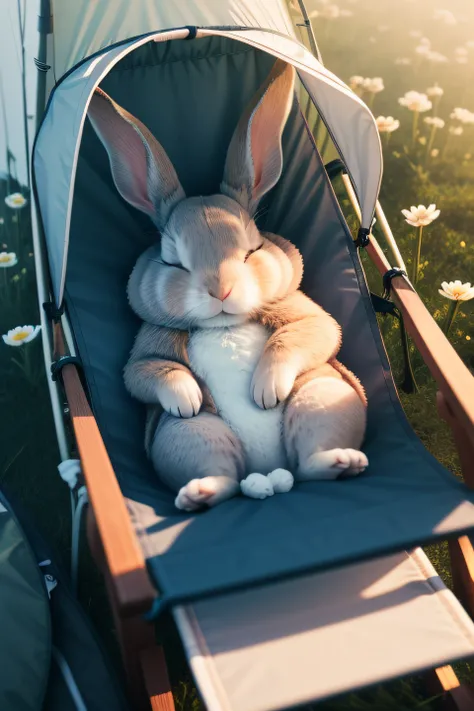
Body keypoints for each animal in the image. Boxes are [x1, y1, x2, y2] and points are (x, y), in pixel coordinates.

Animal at [88, 57, 370, 512]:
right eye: (173, 261)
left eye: (251, 250)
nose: (220, 290)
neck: (224, 324)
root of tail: (272, 475)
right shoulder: (151, 345)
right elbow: (145, 370)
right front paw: (184, 396)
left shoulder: (302, 312)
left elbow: (313, 332)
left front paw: (266, 389)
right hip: (190, 435)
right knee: (220, 472)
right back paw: (200, 493)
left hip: (321, 395)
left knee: (313, 454)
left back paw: (340, 462)